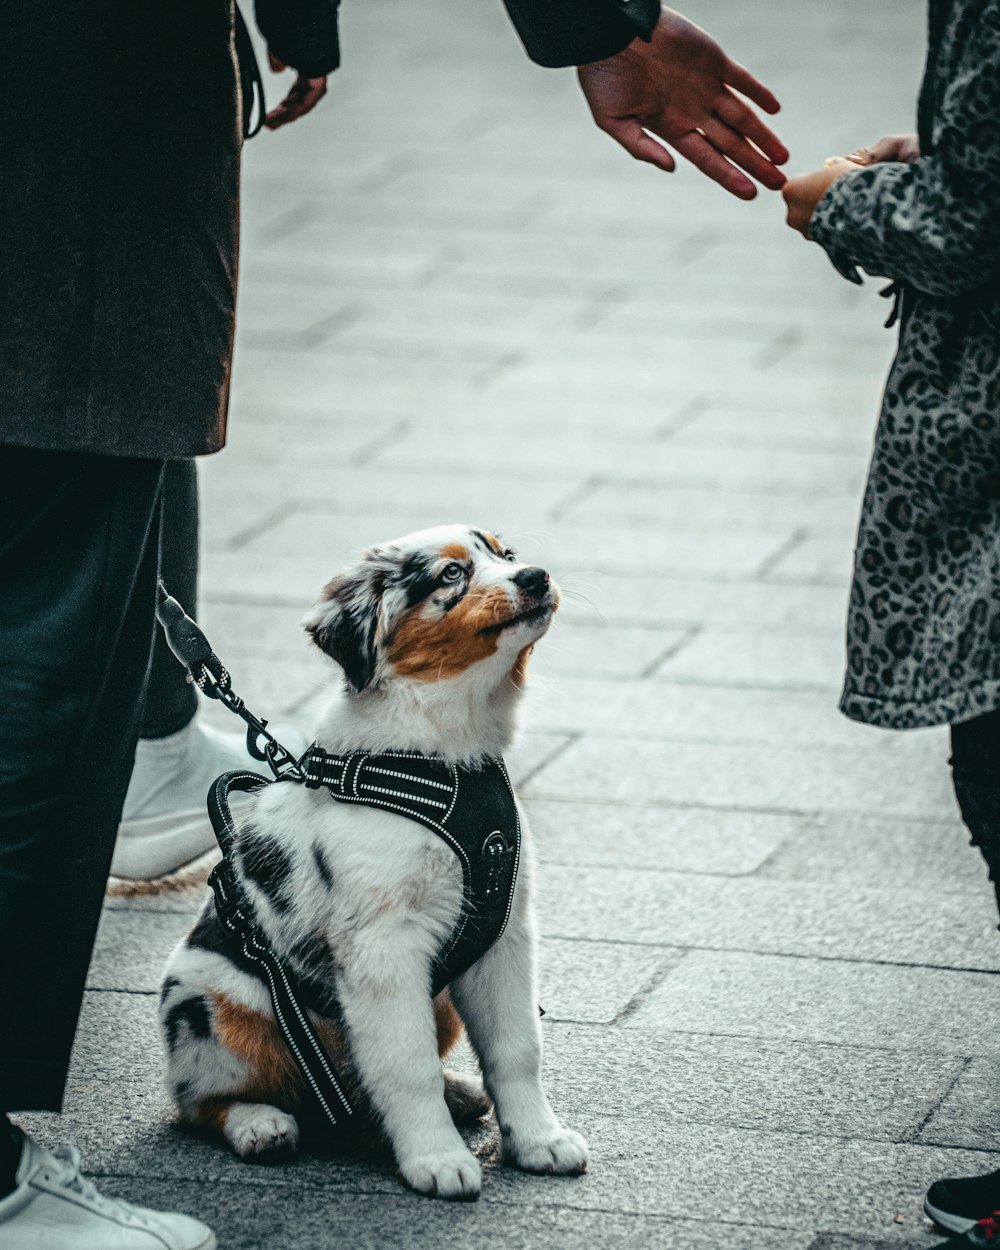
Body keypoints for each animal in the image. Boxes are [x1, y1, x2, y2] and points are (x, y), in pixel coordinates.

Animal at [160, 522, 590, 1195]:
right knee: (199, 1098)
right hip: (216, 1006)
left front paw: (538, 1140)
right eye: (451, 574)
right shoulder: (383, 945)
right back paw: (259, 1124)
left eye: (508, 555)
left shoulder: (504, 935)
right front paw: (436, 1160)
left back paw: (457, 1092)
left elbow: (518, 1047)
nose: (536, 577)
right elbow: (406, 1064)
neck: (446, 756)